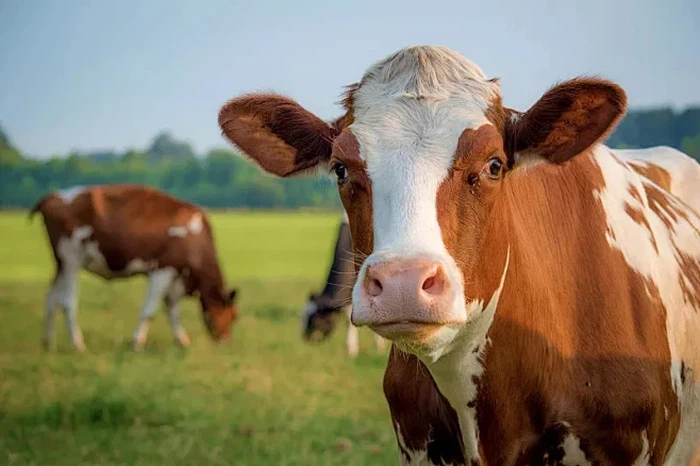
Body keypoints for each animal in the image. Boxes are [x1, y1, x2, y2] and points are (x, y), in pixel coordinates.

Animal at [30, 184, 239, 351]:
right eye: (234, 316)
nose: (226, 342)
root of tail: (53, 196)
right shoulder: (163, 270)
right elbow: (150, 309)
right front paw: (137, 343)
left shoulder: (175, 278)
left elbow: (172, 311)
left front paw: (182, 340)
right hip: (71, 260)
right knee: (67, 301)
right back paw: (77, 344)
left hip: (60, 264)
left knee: (51, 298)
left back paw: (48, 344)